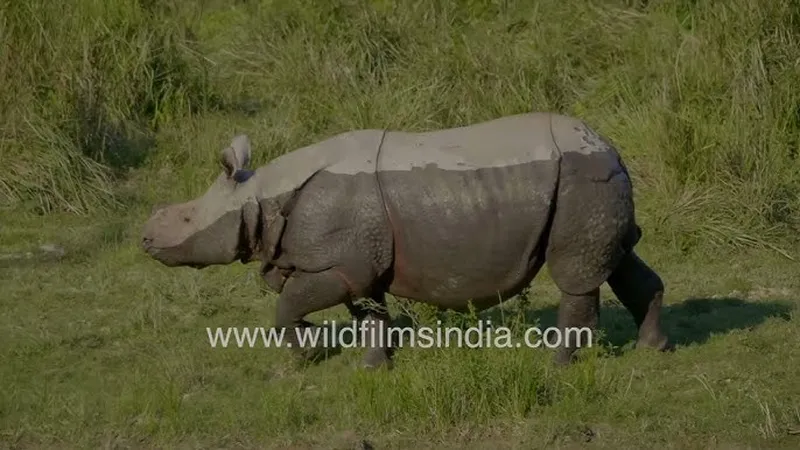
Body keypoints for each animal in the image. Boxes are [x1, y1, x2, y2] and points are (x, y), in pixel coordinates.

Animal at [141, 112, 672, 370]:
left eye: (185, 217)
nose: (145, 237)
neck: (261, 198)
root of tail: (609, 146)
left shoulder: (337, 265)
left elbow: (286, 307)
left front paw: (308, 353)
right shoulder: (360, 261)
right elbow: (370, 314)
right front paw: (374, 368)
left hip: (580, 179)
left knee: (577, 275)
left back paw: (558, 368)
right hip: (591, 182)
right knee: (621, 261)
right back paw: (655, 349)